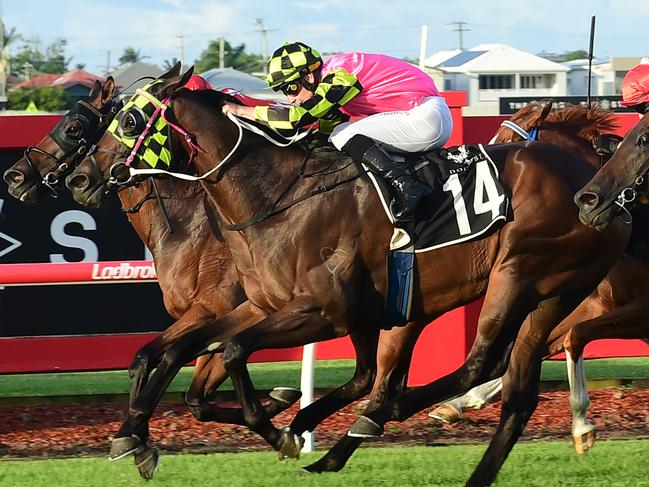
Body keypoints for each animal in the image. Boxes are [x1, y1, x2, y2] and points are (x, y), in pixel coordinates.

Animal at [67, 66, 628, 486]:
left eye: (130, 118)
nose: (80, 178)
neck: (274, 197)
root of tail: (591, 183)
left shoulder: (324, 311)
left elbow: (231, 352)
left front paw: (282, 429)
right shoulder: (264, 305)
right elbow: (188, 353)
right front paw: (136, 436)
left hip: (516, 273)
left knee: (482, 362)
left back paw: (385, 413)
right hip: (551, 292)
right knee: (515, 388)